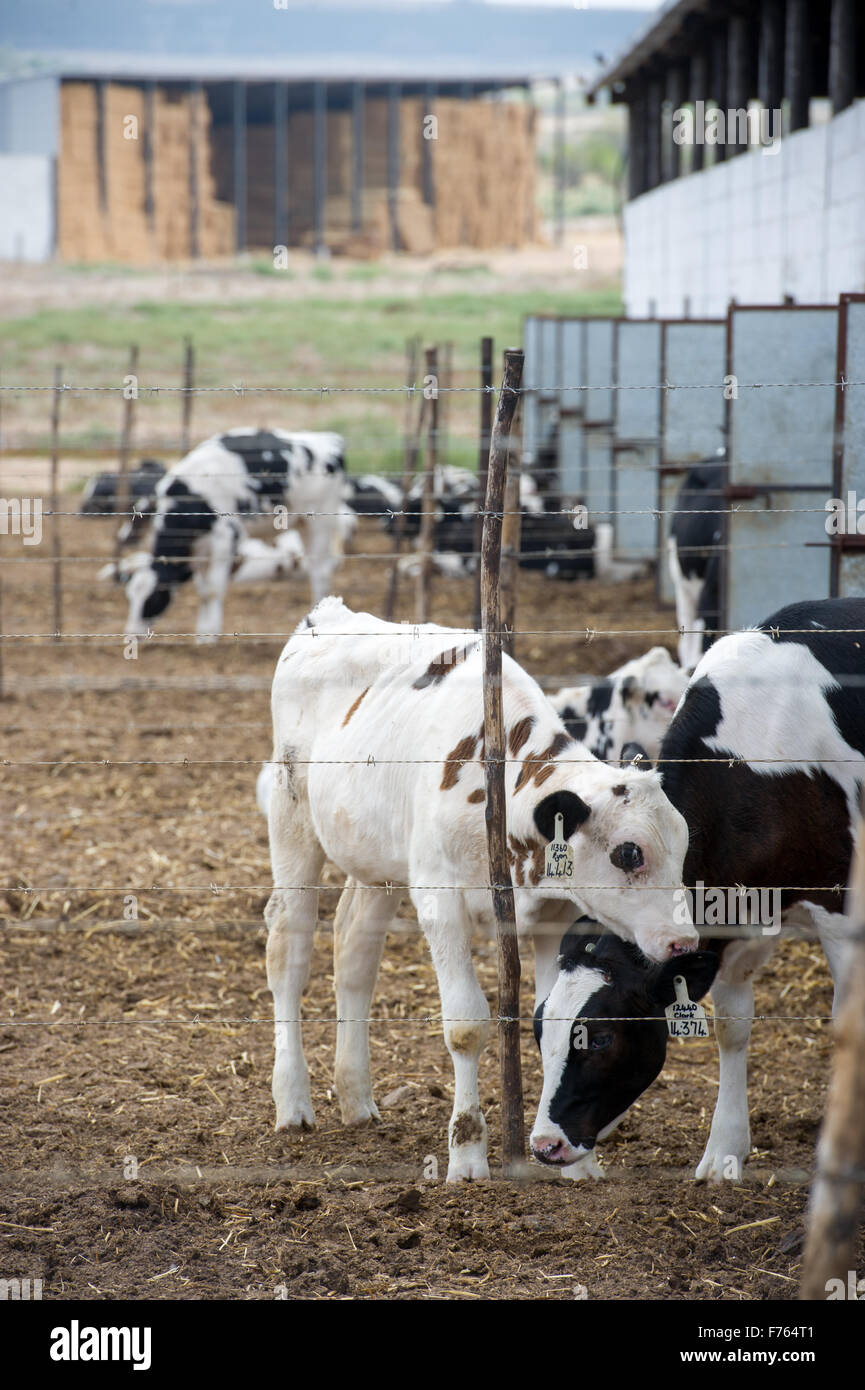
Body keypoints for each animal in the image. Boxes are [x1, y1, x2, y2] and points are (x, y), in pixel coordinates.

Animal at [121, 428, 346, 641]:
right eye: (130, 597)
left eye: (153, 598)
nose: (131, 634)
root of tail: (329, 438)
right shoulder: (199, 550)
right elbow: (203, 593)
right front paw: (202, 637)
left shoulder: (226, 538)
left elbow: (212, 591)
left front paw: (210, 638)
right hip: (302, 524)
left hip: (320, 523)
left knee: (319, 572)